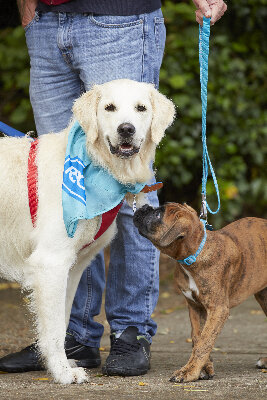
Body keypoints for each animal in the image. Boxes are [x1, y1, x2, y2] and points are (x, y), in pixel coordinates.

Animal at [134, 205, 267, 382]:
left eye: (157, 214)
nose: (143, 206)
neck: (193, 255)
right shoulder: (195, 307)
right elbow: (198, 337)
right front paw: (204, 368)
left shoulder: (218, 309)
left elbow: (205, 342)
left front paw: (188, 372)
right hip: (264, 297)